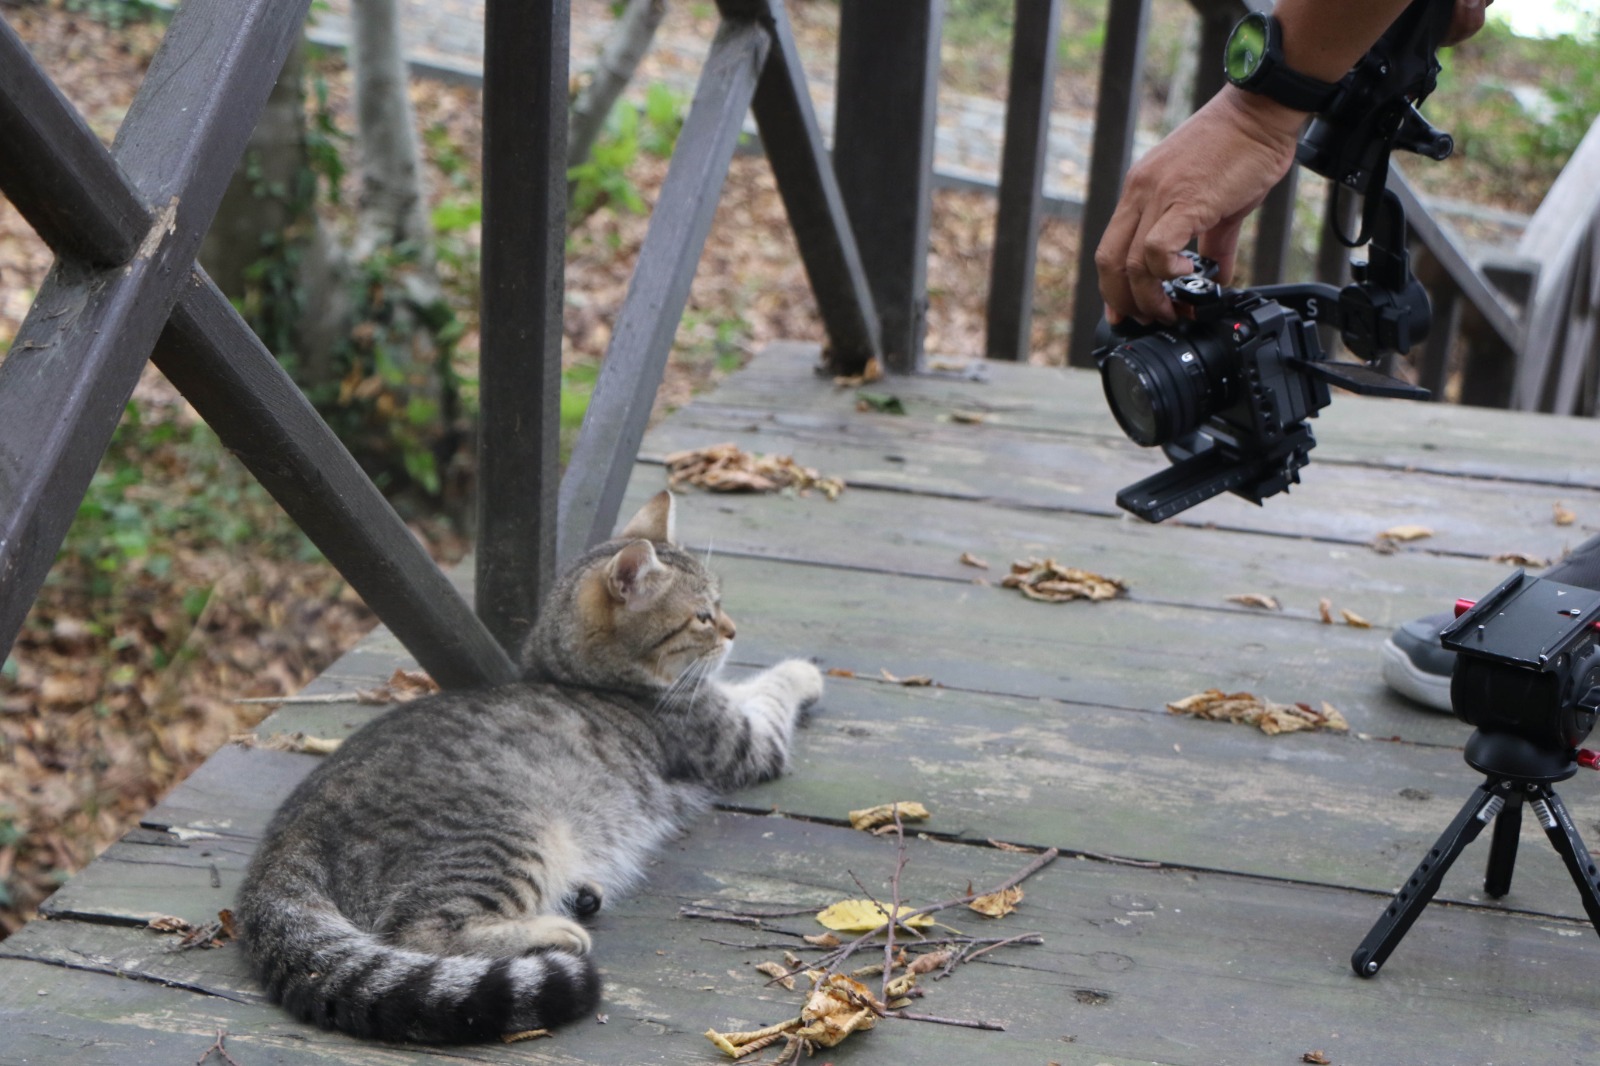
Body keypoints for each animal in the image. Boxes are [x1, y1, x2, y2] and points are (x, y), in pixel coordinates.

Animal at [236, 492, 825, 1043]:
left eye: (719, 606)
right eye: (704, 615)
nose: (731, 630)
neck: (580, 677)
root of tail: (283, 842)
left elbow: (751, 688)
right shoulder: (740, 741)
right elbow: (771, 690)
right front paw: (804, 671)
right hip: (511, 835)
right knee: (419, 931)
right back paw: (558, 932)